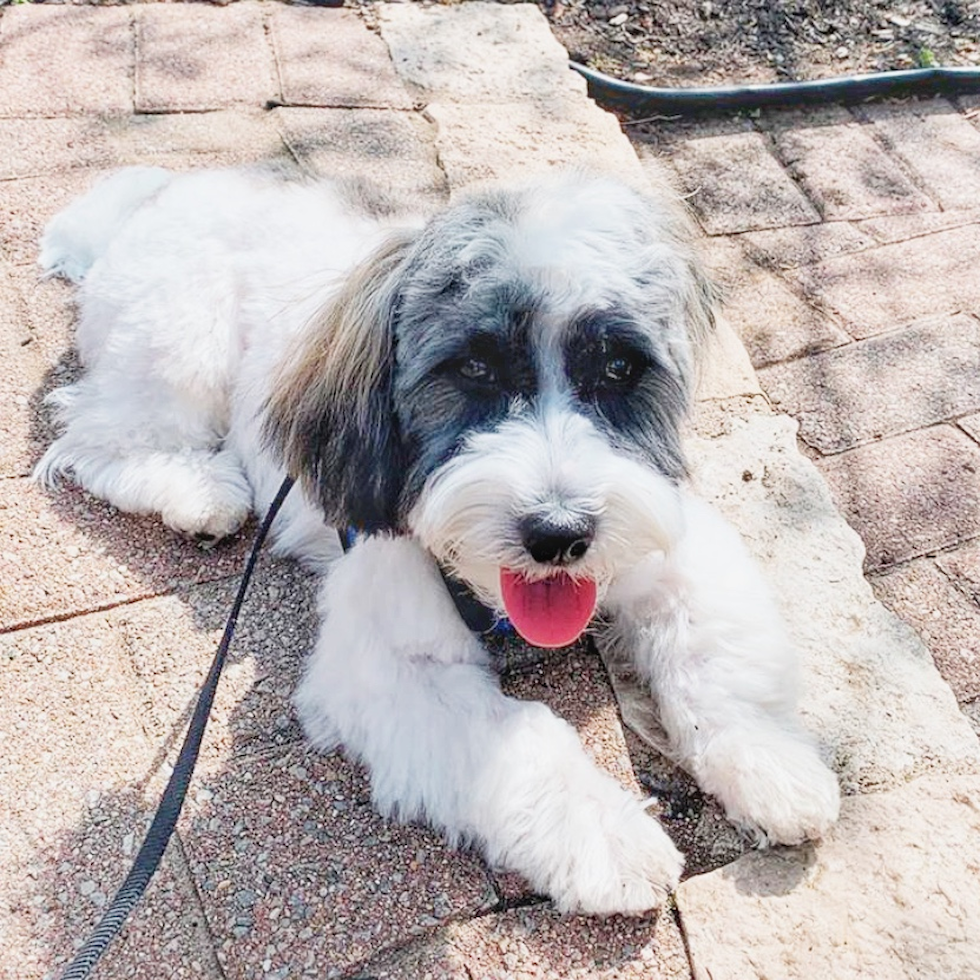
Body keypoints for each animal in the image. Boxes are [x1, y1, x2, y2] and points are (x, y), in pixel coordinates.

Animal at [34, 163, 840, 920]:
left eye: (618, 368)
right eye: (473, 367)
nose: (559, 533)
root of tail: (161, 197)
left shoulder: (671, 541)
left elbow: (713, 657)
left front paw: (772, 765)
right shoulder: (389, 661)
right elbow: (520, 740)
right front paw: (604, 837)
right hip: (178, 337)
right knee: (102, 437)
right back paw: (197, 492)